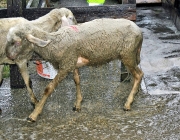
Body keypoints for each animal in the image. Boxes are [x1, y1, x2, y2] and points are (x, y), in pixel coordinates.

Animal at [5, 18, 143, 122]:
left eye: (16, 42)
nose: (8, 56)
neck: (54, 43)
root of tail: (140, 31)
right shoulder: (73, 62)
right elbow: (77, 80)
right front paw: (78, 104)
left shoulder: (66, 64)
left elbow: (48, 88)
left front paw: (34, 114)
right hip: (131, 54)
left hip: (128, 54)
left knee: (139, 74)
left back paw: (128, 103)